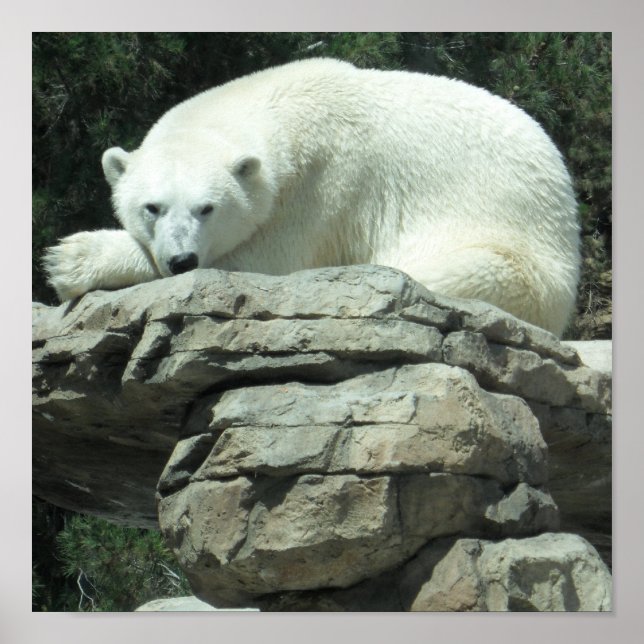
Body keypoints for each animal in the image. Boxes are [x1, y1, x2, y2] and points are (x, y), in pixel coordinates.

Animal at [44, 57, 580, 336]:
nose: (181, 260)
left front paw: (70, 258)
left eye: (207, 208)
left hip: (518, 263)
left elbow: (265, 260)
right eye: (152, 207)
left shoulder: (325, 185)